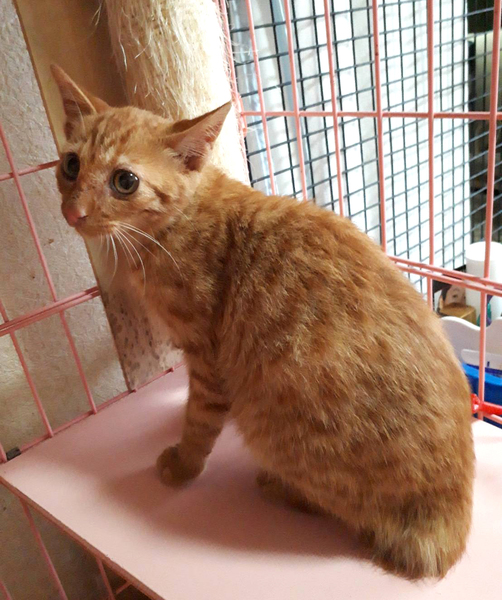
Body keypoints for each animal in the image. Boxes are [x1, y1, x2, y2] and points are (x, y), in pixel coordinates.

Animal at [52, 64, 474, 580]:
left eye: (124, 181)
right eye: (72, 165)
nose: (74, 212)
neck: (173, 227)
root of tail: (447, 525)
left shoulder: (207, 358)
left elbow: (199, 422)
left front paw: (183, 463)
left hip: (268, 420)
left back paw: (278, 487)